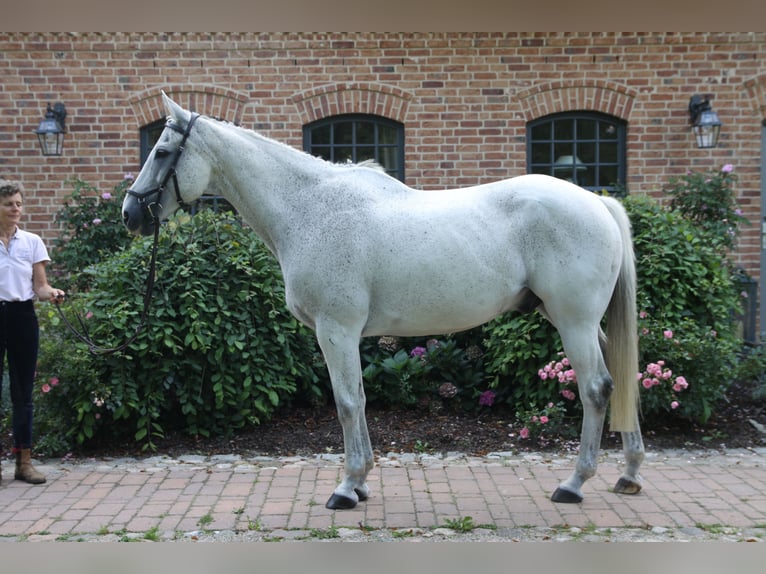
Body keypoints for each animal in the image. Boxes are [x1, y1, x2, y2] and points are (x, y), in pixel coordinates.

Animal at [123, 93, 645, 510]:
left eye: (162, 151)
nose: (130, 213)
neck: (309, 208)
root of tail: (598, 202)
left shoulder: (336, 330)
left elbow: (347, 402)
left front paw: (346, 487)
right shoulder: (343, 335)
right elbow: (358, 399)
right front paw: (361, 483)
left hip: (574, 322)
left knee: (596, 388)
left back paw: (574, 483)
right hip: (581, 322)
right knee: (621, 378)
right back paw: (629, 472)